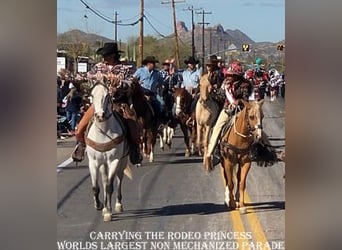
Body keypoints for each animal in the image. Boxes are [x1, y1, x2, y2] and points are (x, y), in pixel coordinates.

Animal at [85, 82, 132, 223]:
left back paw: (117, 205)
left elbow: (110, 187)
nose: (100, 115)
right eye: (92, 95)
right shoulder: (93, 162)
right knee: (105, 180)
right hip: (103, 164)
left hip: (122, 162)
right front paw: (99, 205)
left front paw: (108, 213)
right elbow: (96, 187)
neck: (103, 132)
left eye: (107, 95)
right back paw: (105, 207)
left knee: (118, 179)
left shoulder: (114, 161)